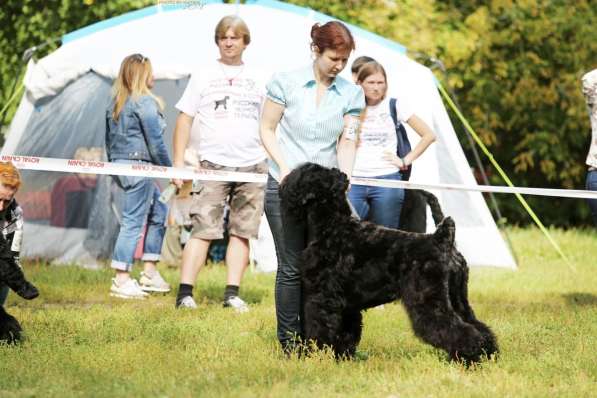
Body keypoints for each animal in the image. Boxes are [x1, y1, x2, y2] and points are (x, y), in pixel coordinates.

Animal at [280, 162, 498, 364]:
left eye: (306, 171)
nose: (283, 186)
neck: (332, 225)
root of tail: (443, 238)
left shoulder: (322, 299)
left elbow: (321, 331)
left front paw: (317, 357)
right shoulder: (347, 306)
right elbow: (346, 334)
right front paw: (342, 358)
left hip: (429, 300)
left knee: (457, 328)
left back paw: (469, 358)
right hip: (457, 296)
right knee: (476, 325)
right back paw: (488, 354)